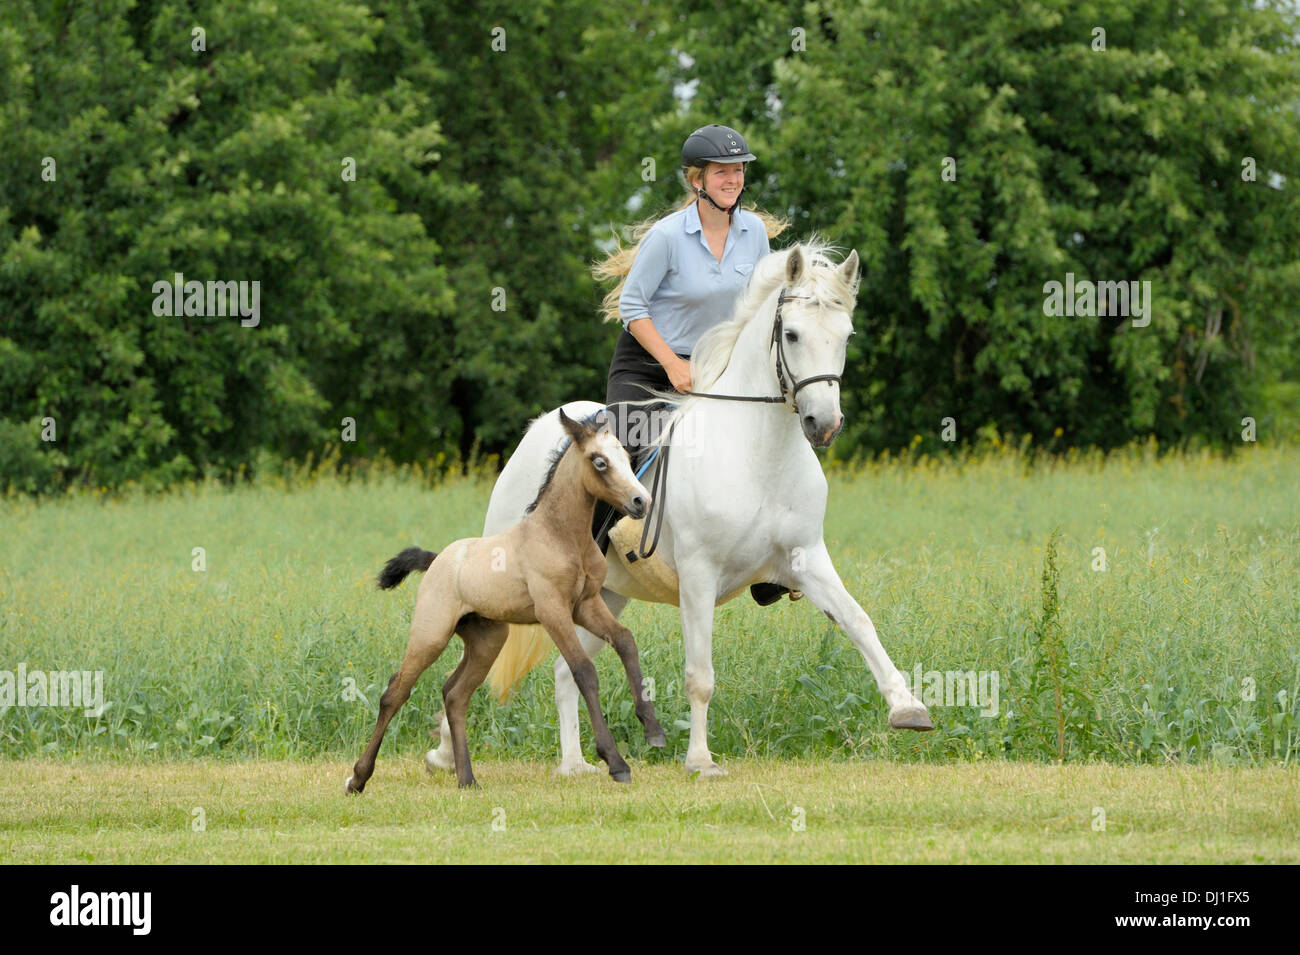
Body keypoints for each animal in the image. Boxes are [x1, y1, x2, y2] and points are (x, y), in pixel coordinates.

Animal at [423, 239, 925, 779]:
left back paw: (575, 764)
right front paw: (700, 759)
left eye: (846, 335)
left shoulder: (806, 558)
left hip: (602, 595)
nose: (823, 423)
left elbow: (858, 621)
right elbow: (699, 674)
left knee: (565, 669)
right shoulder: (699, 575)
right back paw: (445, 753)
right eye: (791, 334)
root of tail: (540, 429)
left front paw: (908, 708)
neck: (758, 453)